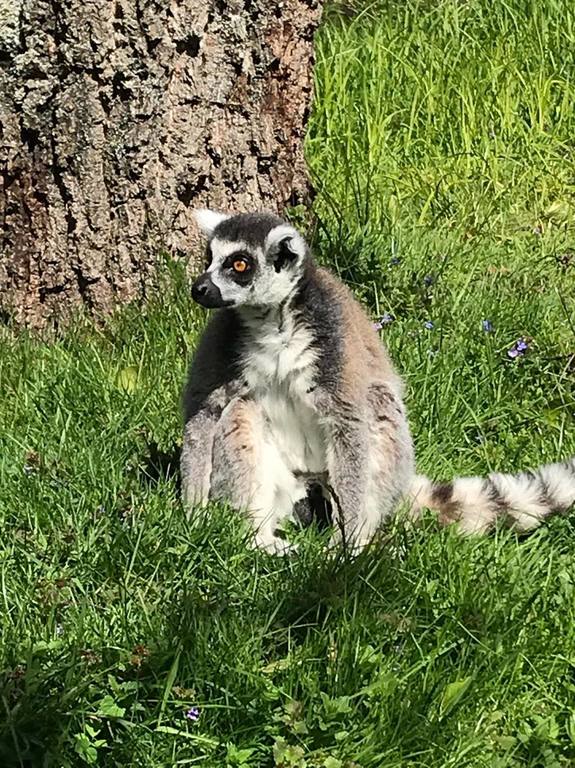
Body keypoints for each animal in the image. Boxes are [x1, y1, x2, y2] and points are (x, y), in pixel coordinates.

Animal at [180, 209, 575, 554]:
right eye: (209, 257)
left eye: (239, 264)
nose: (199, 288)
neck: (271, 322)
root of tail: (309, 479)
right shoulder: (223, 337)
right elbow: (203, 411)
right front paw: (194, 516)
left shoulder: (333, 339)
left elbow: (349, 420)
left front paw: (347, 547)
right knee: (241, 409)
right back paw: (260, 539)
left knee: (378, 405)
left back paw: (357, 540)